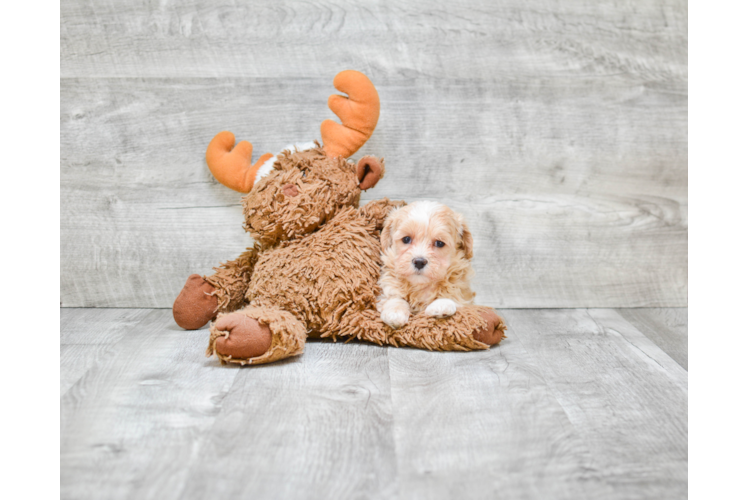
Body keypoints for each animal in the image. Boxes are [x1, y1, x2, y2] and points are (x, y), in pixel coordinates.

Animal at [376, 199, 476, 328]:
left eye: (439, 243)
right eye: (406, 239)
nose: (419, 262)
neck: (421, 286)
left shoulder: (463, 291)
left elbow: (453, 293)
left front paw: (441, 304)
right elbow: (393, 296)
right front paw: (395, 312)